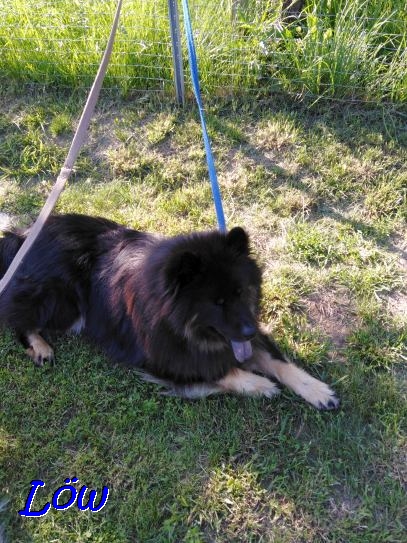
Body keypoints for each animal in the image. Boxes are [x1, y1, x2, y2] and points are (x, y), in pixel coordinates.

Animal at [0, 215, 342, 410]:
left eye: (241, 293)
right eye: (217, 302)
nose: (248, 332)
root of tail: (21, 237)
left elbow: (276, 361)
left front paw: (316, 390)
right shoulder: (161, 358)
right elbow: (216, 372)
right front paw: (259, 385)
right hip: (63, 302)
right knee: (16, 316)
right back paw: (40, 346)